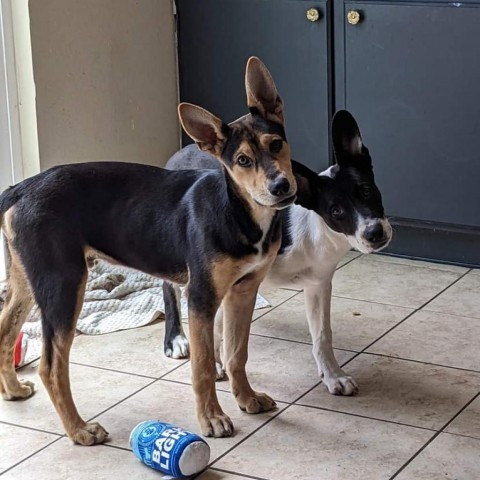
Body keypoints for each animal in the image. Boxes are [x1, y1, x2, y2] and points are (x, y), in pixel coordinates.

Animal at [0, 58, 296, 444]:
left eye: (276, 144)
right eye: (243, 160)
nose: (281, 186)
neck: (238, 209)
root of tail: (19, 188)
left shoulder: (243, 290)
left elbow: (236, 353)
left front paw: (247, 399)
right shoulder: (201, 296)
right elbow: (203, 365)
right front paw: (212, 419)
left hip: (26, 279)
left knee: (5, 331)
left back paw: (13, 390)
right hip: (63, 284)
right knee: (51, 366)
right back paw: (79, 430)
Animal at [164, 110, 390, 396]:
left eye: (367, 191)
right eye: (336, 211)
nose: (375, 233)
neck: (313, 229)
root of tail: (181, 152)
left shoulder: (318, 284)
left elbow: (322, 336)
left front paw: (333, 376)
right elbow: (212, 327)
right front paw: (214, 364)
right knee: (169, 288)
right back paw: (176, 339)